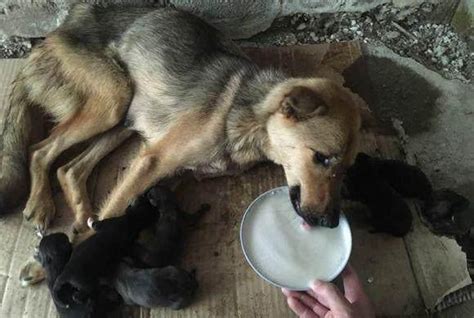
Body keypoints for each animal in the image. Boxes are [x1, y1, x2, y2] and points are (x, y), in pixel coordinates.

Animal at [0, 3, 366, 234]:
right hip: (116, 99)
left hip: (127, 119)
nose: (332, 223)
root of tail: (61, 27)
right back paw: (41, 205)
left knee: (69, 168)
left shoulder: (168, 175)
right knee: (39, 149)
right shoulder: (152, 161)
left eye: (347, 168)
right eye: (321, 158)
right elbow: (112, 213)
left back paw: (78, 214)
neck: (249, 118)